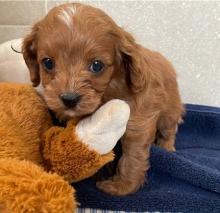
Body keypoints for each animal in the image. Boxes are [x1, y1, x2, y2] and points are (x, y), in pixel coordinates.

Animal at [21, 2, 184, 196]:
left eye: (97, 66)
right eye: (47, 63)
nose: (69, 99)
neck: (108, 91)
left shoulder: (138, 121)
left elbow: (133, 157)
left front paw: (122, 186)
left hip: (170, 109)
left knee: (169, 129)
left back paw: (167, 146)